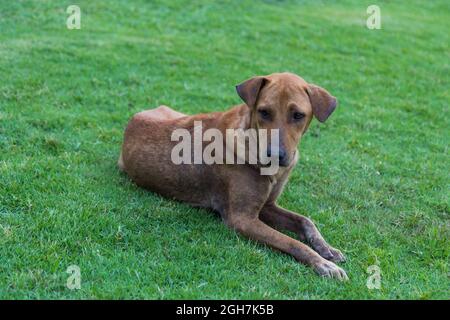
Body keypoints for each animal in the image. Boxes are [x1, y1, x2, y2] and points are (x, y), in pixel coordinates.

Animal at [118, 72, 346, 280]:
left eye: (298, 115)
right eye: (264, 112)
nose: (275, 154)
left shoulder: (268, 206)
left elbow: (305, 221)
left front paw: (326, 248)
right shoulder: (242, 218)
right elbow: (292, 242)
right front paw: (322, 263)